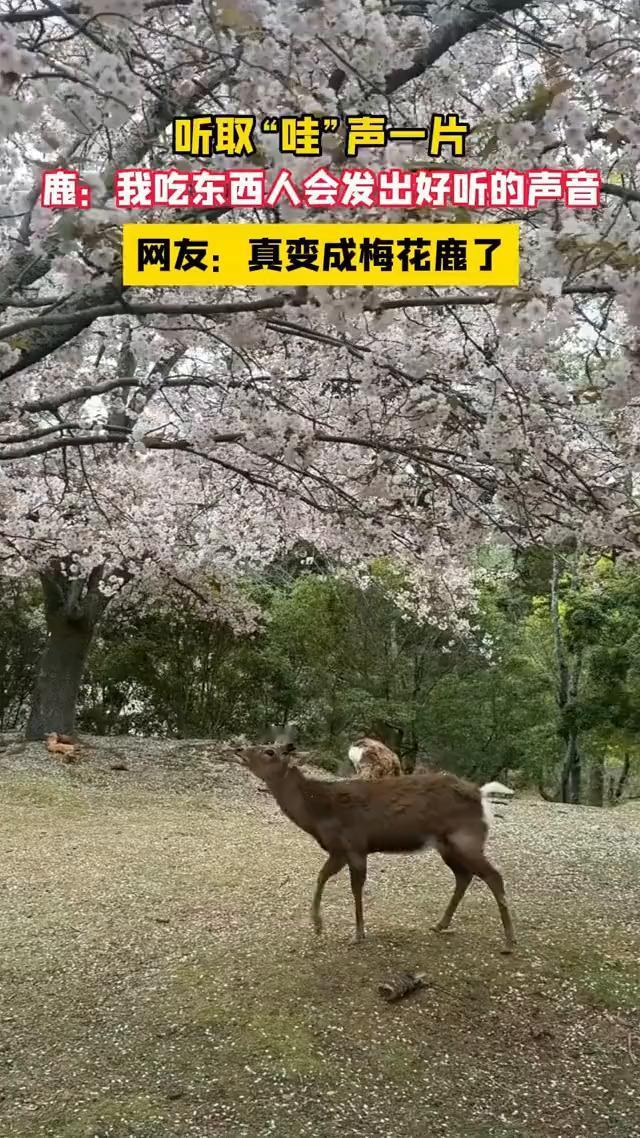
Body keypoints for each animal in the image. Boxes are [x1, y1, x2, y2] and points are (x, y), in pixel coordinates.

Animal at [234, 742, 516, 954]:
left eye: (269, 751)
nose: (238, 749)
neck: (319, 815)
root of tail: (482, 795)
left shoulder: (354, 845)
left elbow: (355, 888)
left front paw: (357, 933)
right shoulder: (339, 850)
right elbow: (322, 876)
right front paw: (317, 925)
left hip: (466, 839)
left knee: (493, 876)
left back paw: (509, 941)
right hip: (447, 845)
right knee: (464, 876)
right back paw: (440, 924)